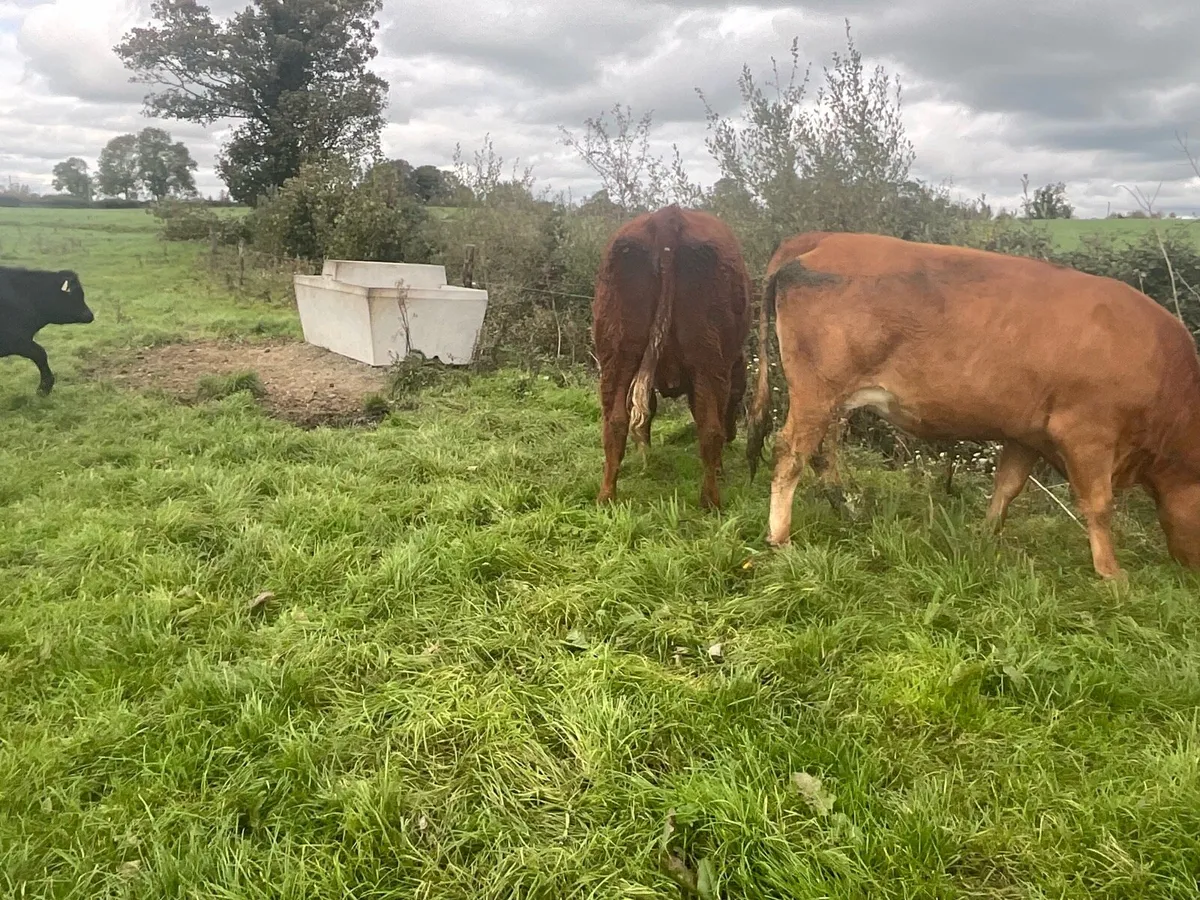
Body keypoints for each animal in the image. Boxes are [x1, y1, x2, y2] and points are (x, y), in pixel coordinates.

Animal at [592, 204, 752, 509]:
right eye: (738, 400)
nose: (735, 435)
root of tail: (667, 216)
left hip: (617, 354)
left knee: (615, 422)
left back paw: (606, 496)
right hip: (709, 359)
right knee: (710, 429)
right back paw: (711, 501)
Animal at [745, 230, 1200, 580]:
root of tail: (822, 238)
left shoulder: (1026, 433)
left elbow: (1007, 486)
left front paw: (986, 536)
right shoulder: (1088, 434)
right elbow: (1099, 505)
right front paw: (1112, 576)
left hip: (831, 400)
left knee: (821, 454)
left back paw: (847, 511)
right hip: (816, 393)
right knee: (789, 454)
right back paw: (780, 538)